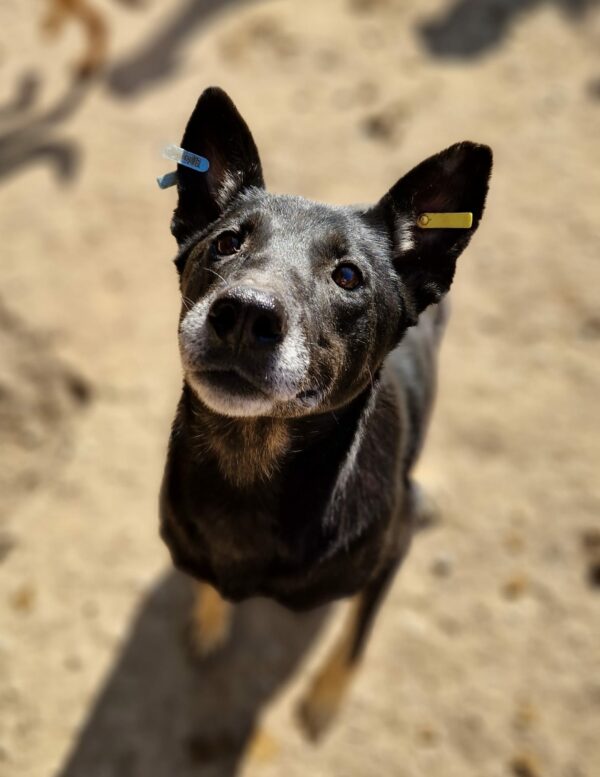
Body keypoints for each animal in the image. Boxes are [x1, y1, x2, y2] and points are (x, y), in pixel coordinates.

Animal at [159, 86, 492, 740]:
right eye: (227, 242)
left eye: (348, 276)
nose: (244, 314)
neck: (250, 466)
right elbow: (209, 583)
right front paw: (210, 620)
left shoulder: (391, 551)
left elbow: (357, 635)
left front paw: (326, 697)